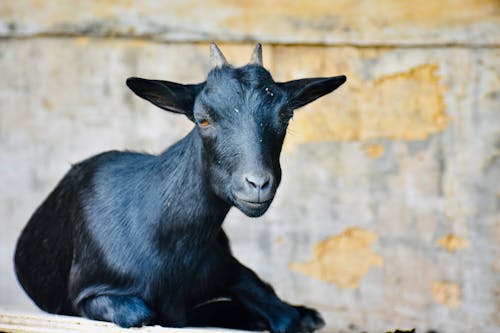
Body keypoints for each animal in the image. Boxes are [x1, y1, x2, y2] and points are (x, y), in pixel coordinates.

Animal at [13, 44, 346, 332]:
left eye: (286, 115)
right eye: (203, 119)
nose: (258, 184)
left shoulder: (225, 267)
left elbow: (276, 308)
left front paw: (292, 315)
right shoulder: (87, 292)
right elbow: (140, 313)